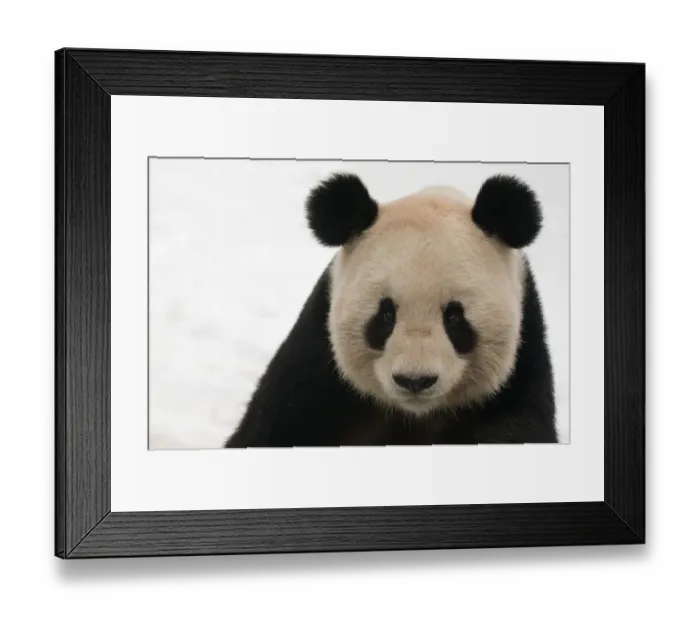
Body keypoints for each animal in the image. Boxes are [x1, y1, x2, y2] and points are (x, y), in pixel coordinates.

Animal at [224, 172, 558, 448]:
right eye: (385, 315)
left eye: (454, 316)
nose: (415, 380)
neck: (414, 416)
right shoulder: (314, 368)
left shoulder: (522, 369)